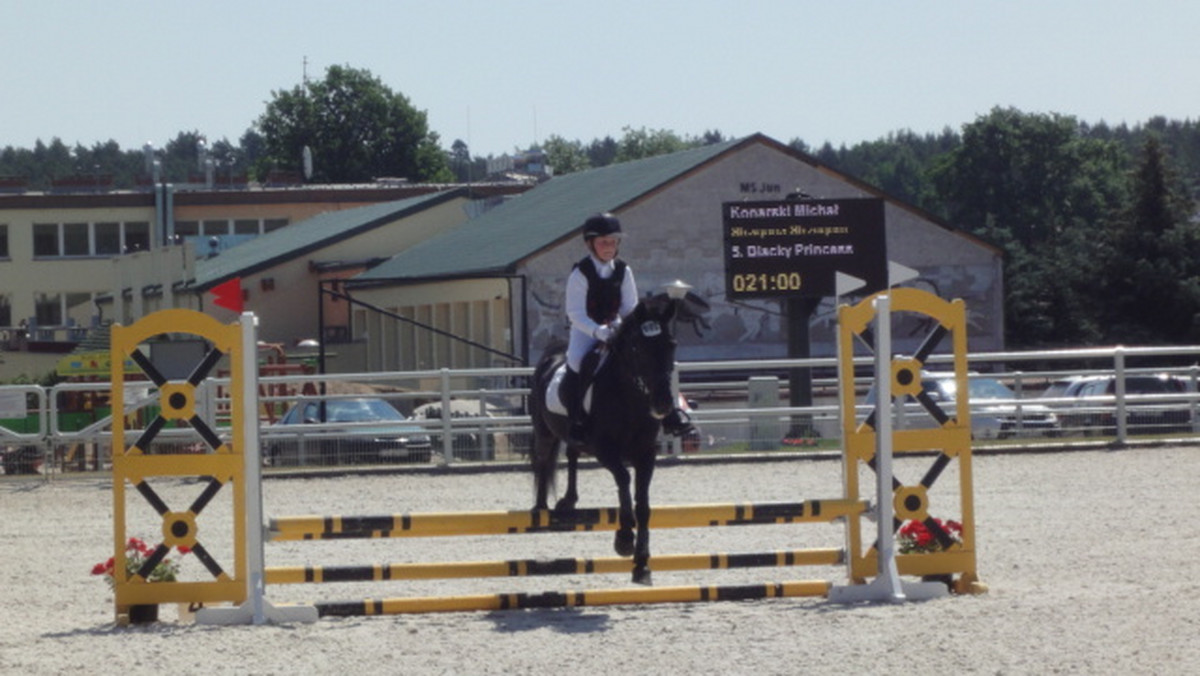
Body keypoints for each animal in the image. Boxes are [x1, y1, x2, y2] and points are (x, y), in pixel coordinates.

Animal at [530, 298, 681, 583]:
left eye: (671, 344)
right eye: (636, 348)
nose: (663, 403)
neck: (629, 396)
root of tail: (553, 355)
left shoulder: (646, 454)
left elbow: (643, 505)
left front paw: (641, 564)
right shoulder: (605, 450)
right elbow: (623, 479)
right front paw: (624, 539)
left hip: (572, 439)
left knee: (572, 455)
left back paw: (568, 500)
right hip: (544, 432)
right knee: (543, 461)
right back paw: (540, 509)